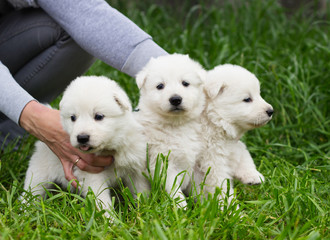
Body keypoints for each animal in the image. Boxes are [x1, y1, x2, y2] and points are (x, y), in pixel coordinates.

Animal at [21, 76, 148, 218]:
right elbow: (102, 201)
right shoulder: (93, 177)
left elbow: (140, 190)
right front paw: (111, 220)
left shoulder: (135, 168)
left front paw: (144, 209)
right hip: (39, 173)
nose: (82, 138)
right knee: (31, 192)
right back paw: (25, 211)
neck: (109, 149)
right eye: (73, 117)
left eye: (99, 116)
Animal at [134, 53, 206, 207]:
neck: (176, 125)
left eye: (185, 83)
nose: (175, 99)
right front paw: (182, 208)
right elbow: (174, 190)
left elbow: (200, 188)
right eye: (160, 86)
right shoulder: (163, 163)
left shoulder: (196, 164)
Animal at [196, 64, 274, 202]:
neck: (213, 119)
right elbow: (220, 185)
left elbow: (243, 155)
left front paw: (253, 176)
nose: (271, 111)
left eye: (259, 94)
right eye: (247, 99)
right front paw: (230, 206)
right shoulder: (212, 159)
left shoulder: (233, 145)